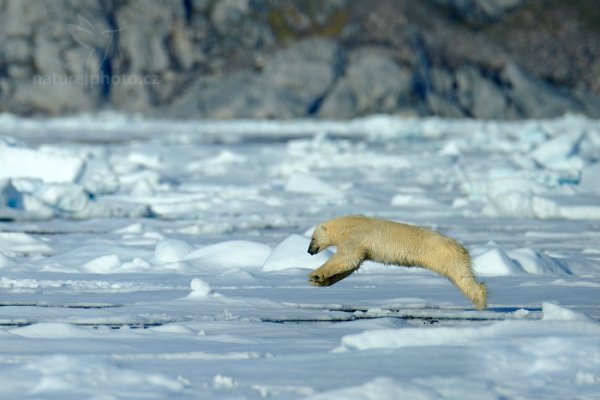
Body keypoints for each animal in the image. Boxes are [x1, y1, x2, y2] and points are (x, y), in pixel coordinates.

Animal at [310, 216, 488, 310]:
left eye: (312, 238)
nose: (309, 251)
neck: (345, 226)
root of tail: (461, 247)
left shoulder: (355, 238)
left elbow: (346, 259)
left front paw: (314, 275)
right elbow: (350, 266)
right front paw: (320, 281)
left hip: (445, 256)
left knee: (461, 276)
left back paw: (480, 299)